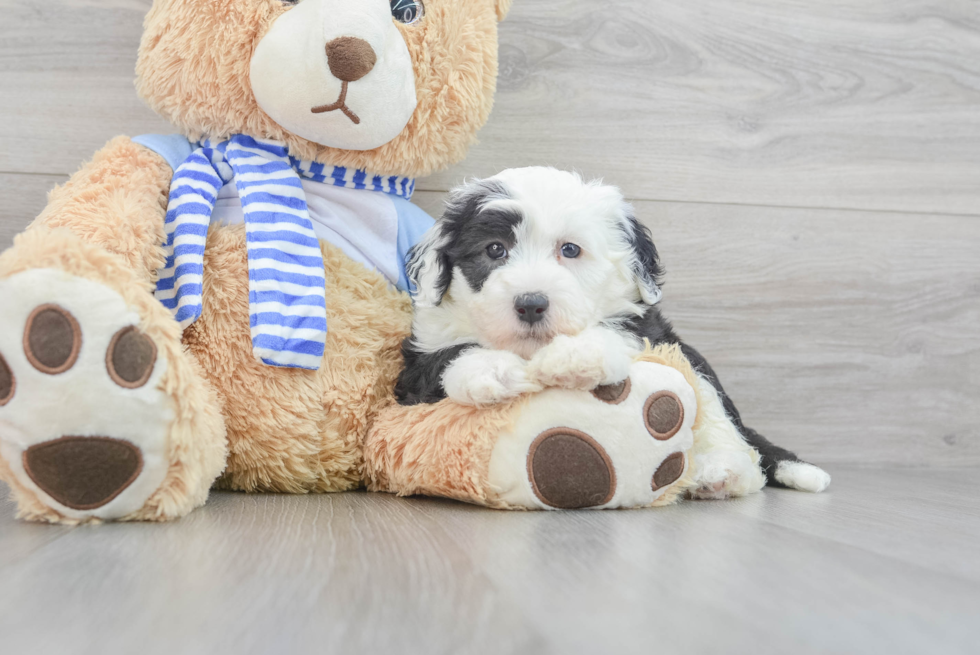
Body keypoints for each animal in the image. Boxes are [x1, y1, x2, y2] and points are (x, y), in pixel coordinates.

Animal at [394, 167, 832, 494]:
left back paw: (723, 472)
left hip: (698, 369)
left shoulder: (648, 328)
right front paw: (489, 369)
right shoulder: (416, 364)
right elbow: (446, 356)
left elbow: (617, 329)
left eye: (570, 250)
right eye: (494, 249)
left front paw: (576, 355)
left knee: (726, 427)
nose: (531, 303)